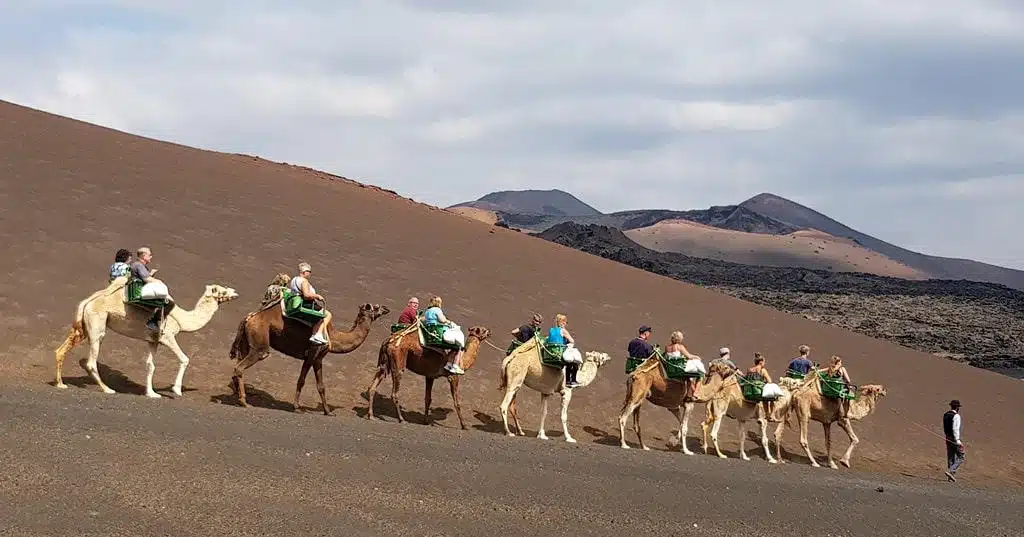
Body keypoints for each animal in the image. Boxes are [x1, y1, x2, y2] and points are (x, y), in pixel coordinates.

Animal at [56, 276, 239, 397]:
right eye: (222, 290)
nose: (235, 292)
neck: (182, 318)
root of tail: (87, 301)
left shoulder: (153, 340)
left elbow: (150, 365)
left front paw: (151, 393)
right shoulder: (167, 336)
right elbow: (185, 359)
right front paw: (177, 390)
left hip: (83, 326)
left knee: (61, 350)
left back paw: (61, 384)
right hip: (97, 324)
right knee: (92, 360)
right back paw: (107, 389)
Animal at [229, 299, 391, 414]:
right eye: (375, 307)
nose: (386, 308)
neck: (333, 336)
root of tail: (249, 318)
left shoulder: (318, 358)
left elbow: (321, 386)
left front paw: (328, 411)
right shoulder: (312, 354)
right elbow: (301, 381)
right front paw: (296, 407)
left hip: (246, 342)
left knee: (238, 364)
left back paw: (238, 396)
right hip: (260, 344)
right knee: (242, 365)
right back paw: (244, 401)